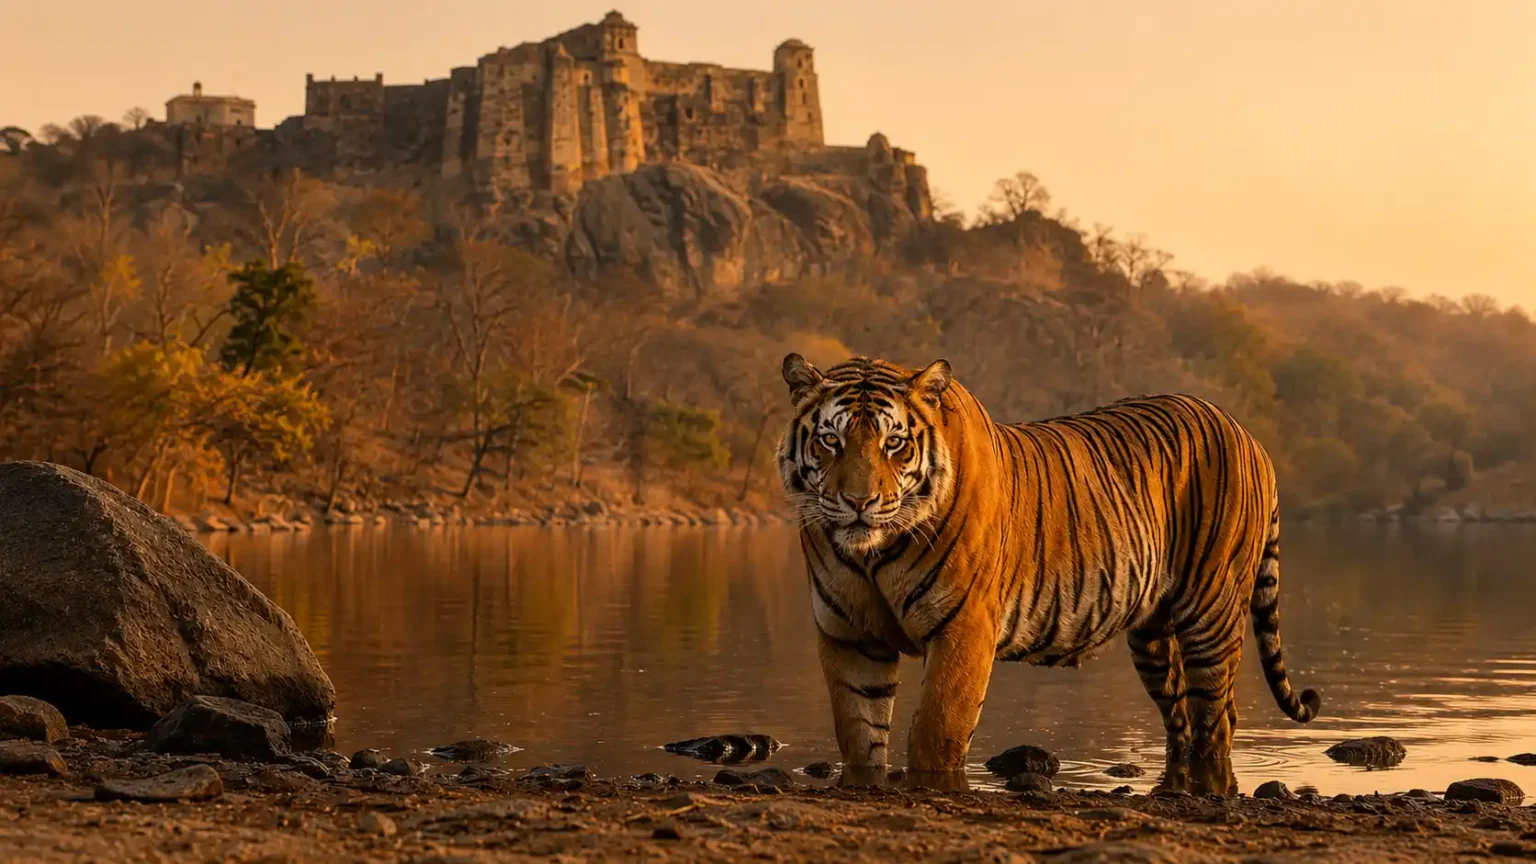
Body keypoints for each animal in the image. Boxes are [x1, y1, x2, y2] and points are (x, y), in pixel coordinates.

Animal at [776, 353, 1321, 793]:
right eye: (830, 441)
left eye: (894, 443)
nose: (858, 502)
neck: (871, 554)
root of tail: (1247, 435)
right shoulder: (848, 635)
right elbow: (859, 732)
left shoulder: (963, 629)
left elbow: (935, 732)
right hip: (1152, 637)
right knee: (1184, 717)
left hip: (1211, 613)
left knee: (1218, 719)